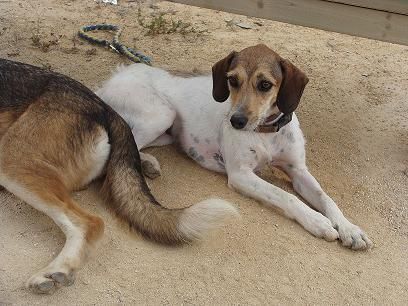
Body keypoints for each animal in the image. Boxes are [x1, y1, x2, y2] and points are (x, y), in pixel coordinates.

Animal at [98, 44, 372, 250]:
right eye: (232, 80)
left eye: (265, 85)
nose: (236, 121)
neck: (265, 132)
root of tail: (110, 79)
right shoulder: (241, 175)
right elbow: (285, 196)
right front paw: (317, 221)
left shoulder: (299, 171)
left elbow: (326, 198)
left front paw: (349, 228)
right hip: (161, 114)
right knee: (124, 141)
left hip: (168, 131)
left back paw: (147, 162)